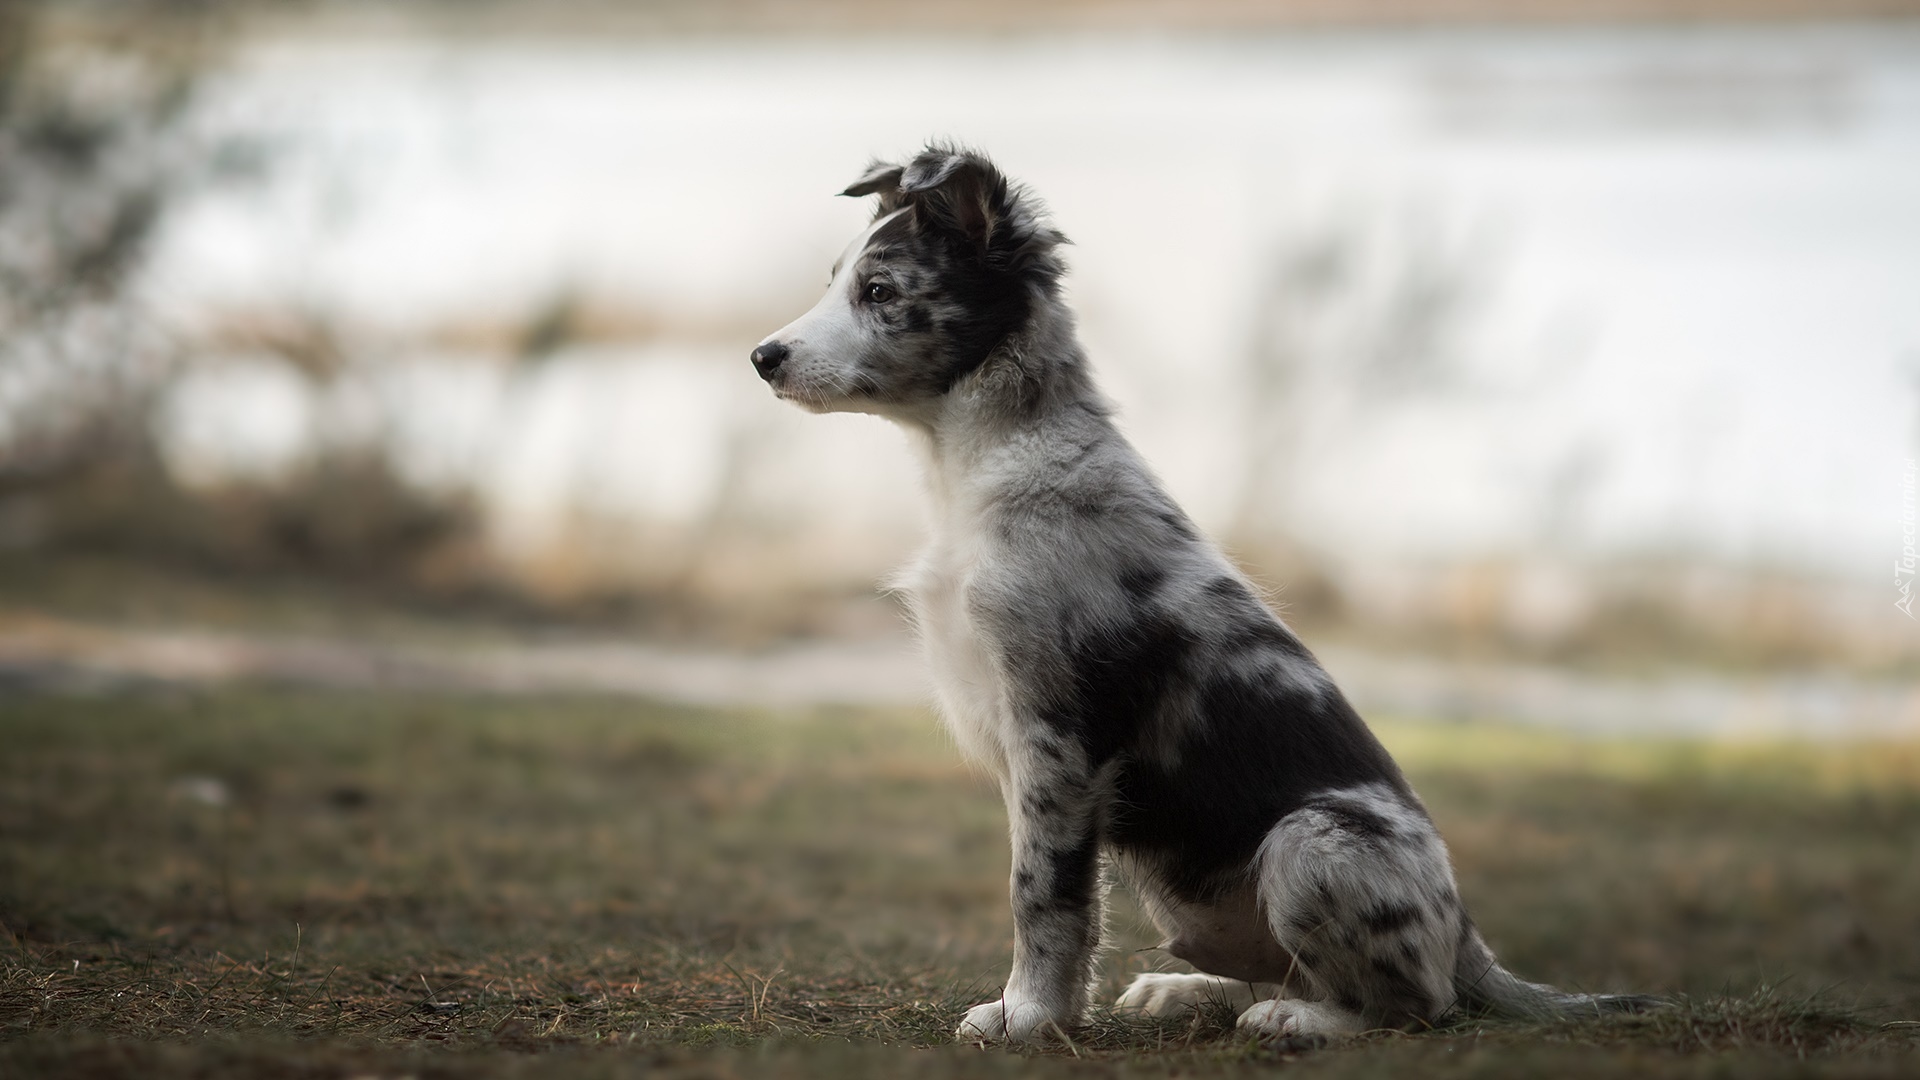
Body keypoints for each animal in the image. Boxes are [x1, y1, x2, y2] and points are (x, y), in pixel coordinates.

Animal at [748, 145, 1651, 1045]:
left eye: (879, 292)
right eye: (837, 281)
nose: (762, 357)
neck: (986, 464)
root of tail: (1470, 942)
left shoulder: (1057, 735)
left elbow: (1044, 893)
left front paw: (1031, 1015)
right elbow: (1056, 894)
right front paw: (1042, 1008)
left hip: (1310, 841)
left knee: (1416, 1005)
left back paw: (1298, 1020)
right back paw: (1182, 990)